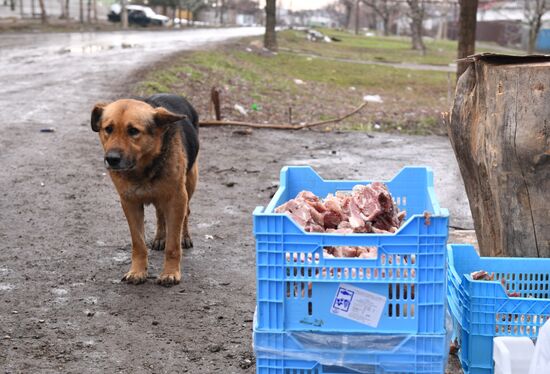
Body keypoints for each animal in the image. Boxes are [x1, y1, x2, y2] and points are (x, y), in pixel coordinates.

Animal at [91, 94, 199, 286]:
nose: (111, 159)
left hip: (190, 182)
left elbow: (173, 245)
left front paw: (170, 273)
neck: (143, 169)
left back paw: (185, 236)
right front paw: (138, 271)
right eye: (108, 129)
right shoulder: (130, 203)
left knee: (186, 212)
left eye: (133, 131)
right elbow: (138, 243)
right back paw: (160, 237)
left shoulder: (176, 199)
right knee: (160, 214)